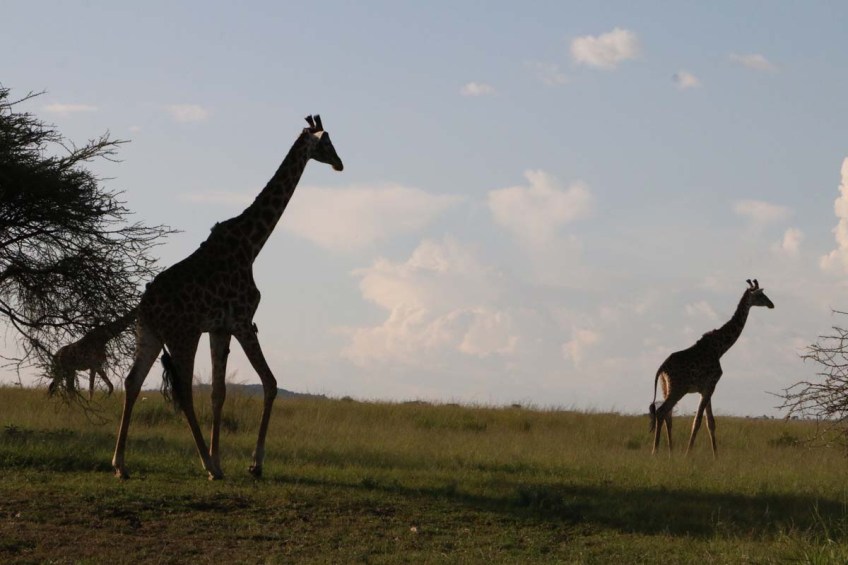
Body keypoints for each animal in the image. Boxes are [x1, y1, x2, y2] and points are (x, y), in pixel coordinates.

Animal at [112, 115, 343, 480]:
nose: (340, 163)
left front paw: (221, 459)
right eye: (327, 143)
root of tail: (144, 305)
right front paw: (253, 464)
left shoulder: (220, 328)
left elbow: (218, 393)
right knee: (183, 391)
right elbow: (270, 382)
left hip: (148, 333)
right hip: (182, 334)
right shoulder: (243, 321)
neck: (252, 244)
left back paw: (120, 464)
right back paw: (205, 465)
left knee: (132, 382)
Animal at [649, 279, 774, 458]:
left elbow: (711, 422)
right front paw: (688, 454)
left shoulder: (706, 388)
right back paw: (655, 451)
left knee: (667, 415)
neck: (720, 348)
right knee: (661, 412)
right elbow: (698, 421)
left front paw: (716, 456)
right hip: (678, 389)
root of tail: (662, 368)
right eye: (761, 295)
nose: (772, 304)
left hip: (666, 387)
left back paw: (670, 452)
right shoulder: (711, 384)